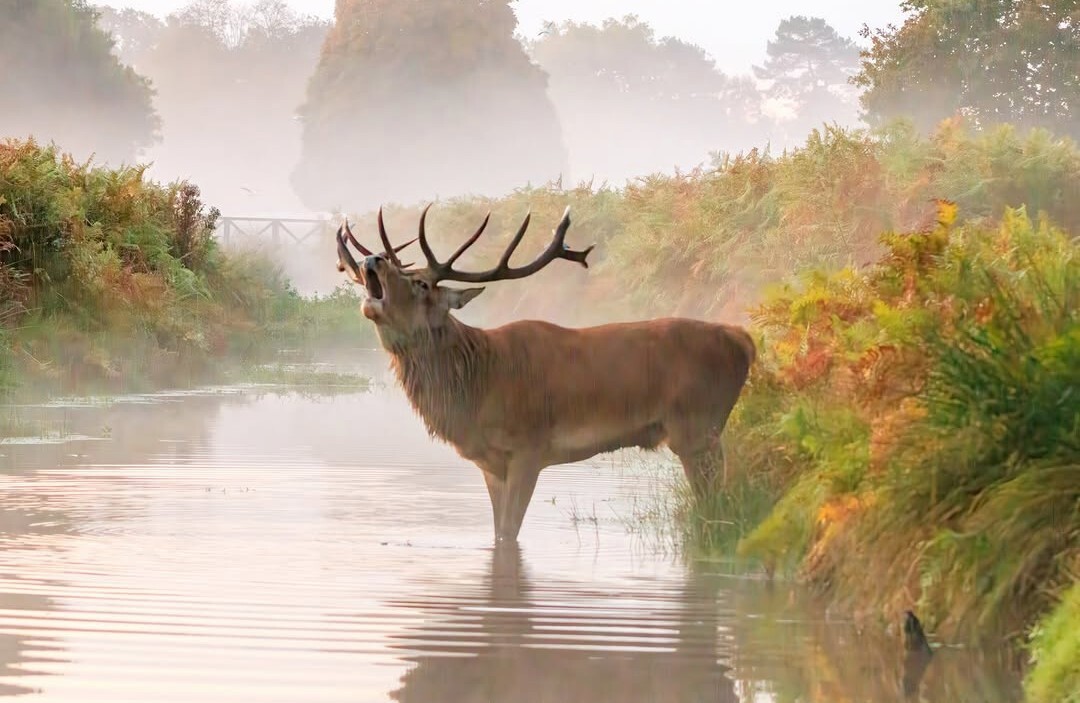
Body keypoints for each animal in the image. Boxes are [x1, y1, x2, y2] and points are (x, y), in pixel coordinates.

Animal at [334, 205, 756, 542]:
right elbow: (498, 532)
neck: (478, 388)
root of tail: (744, 340)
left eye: (421, 283)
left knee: (717, 501)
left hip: (698, 428)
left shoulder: (529, 447)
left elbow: (509, 531)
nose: (373, 260)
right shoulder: (491, 463)